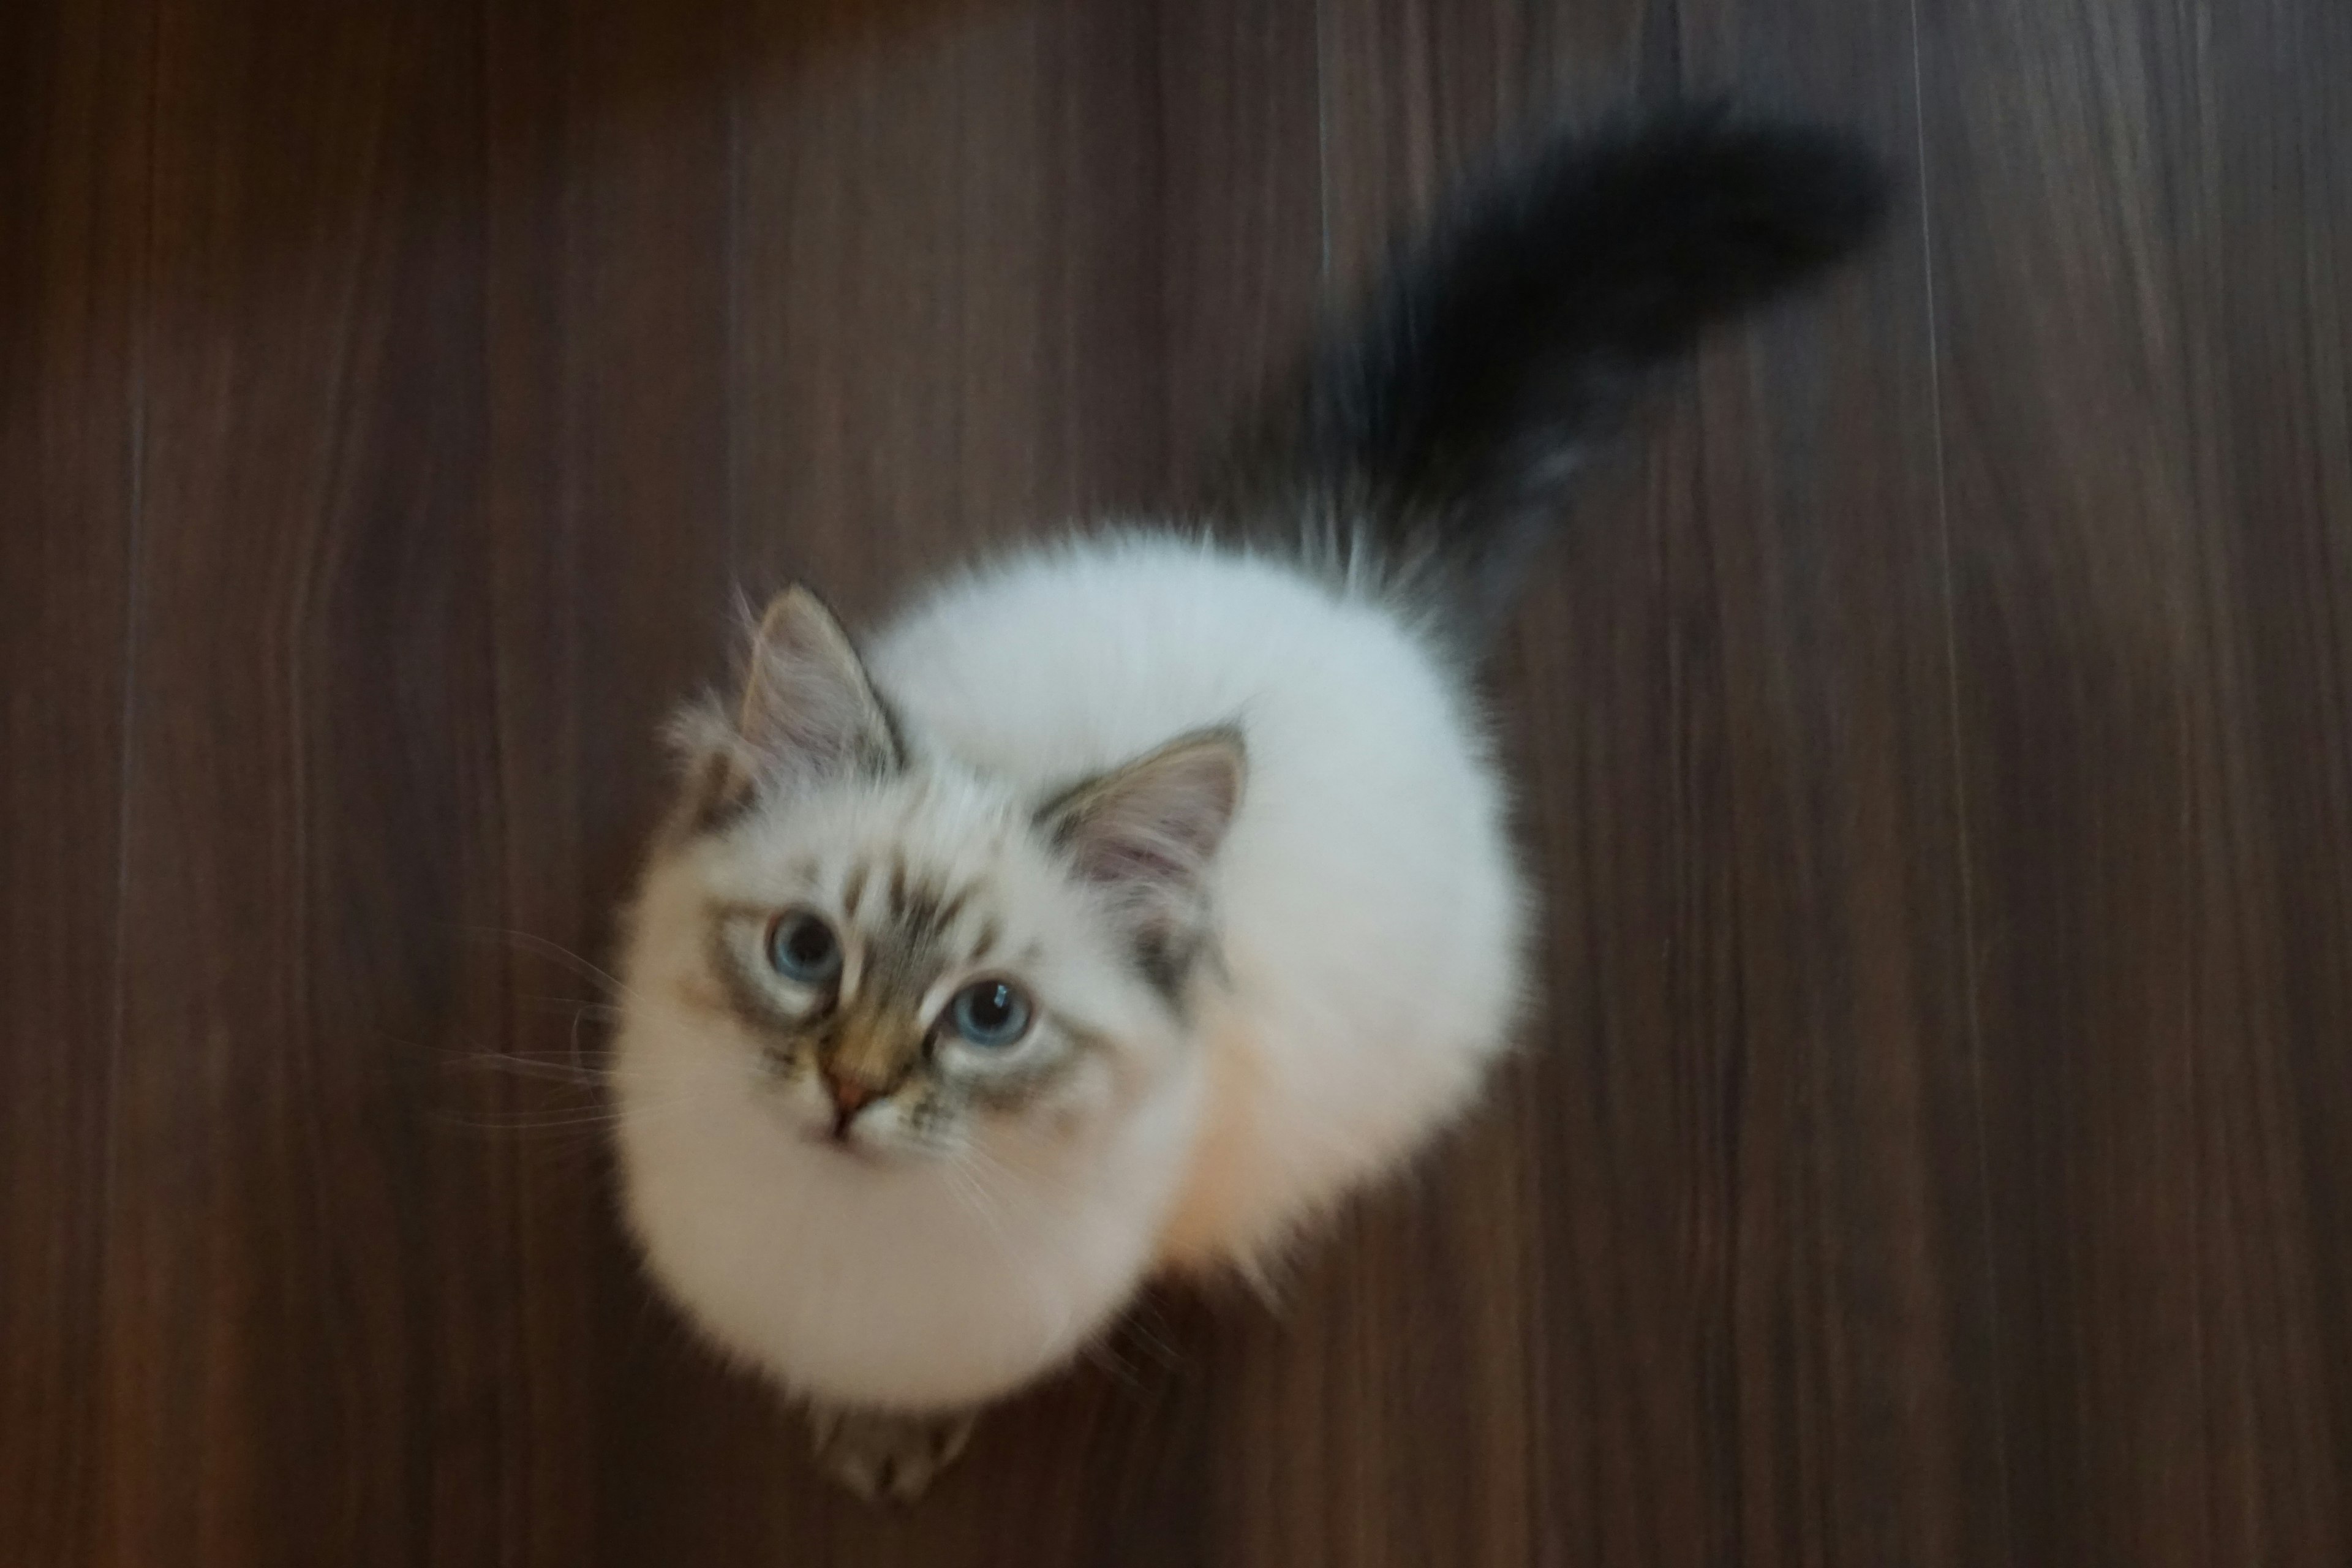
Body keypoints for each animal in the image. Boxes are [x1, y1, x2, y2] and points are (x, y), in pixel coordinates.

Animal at [611, 104, 1891, 1504]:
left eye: (991, 1016)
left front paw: (887, 1440)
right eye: (805, 953)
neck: (835, 1232)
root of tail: (1348, 593)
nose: (848, 1090)